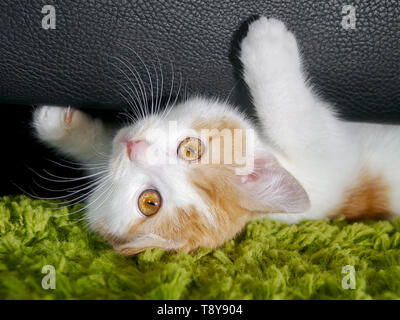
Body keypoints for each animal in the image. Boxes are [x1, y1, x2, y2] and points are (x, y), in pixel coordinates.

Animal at [32, 18, 400, 255]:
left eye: (190, 149)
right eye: (149, 202)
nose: (135, 147)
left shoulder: (330, 163)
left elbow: (300, 125)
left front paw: (266, 45)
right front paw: (61, 127)